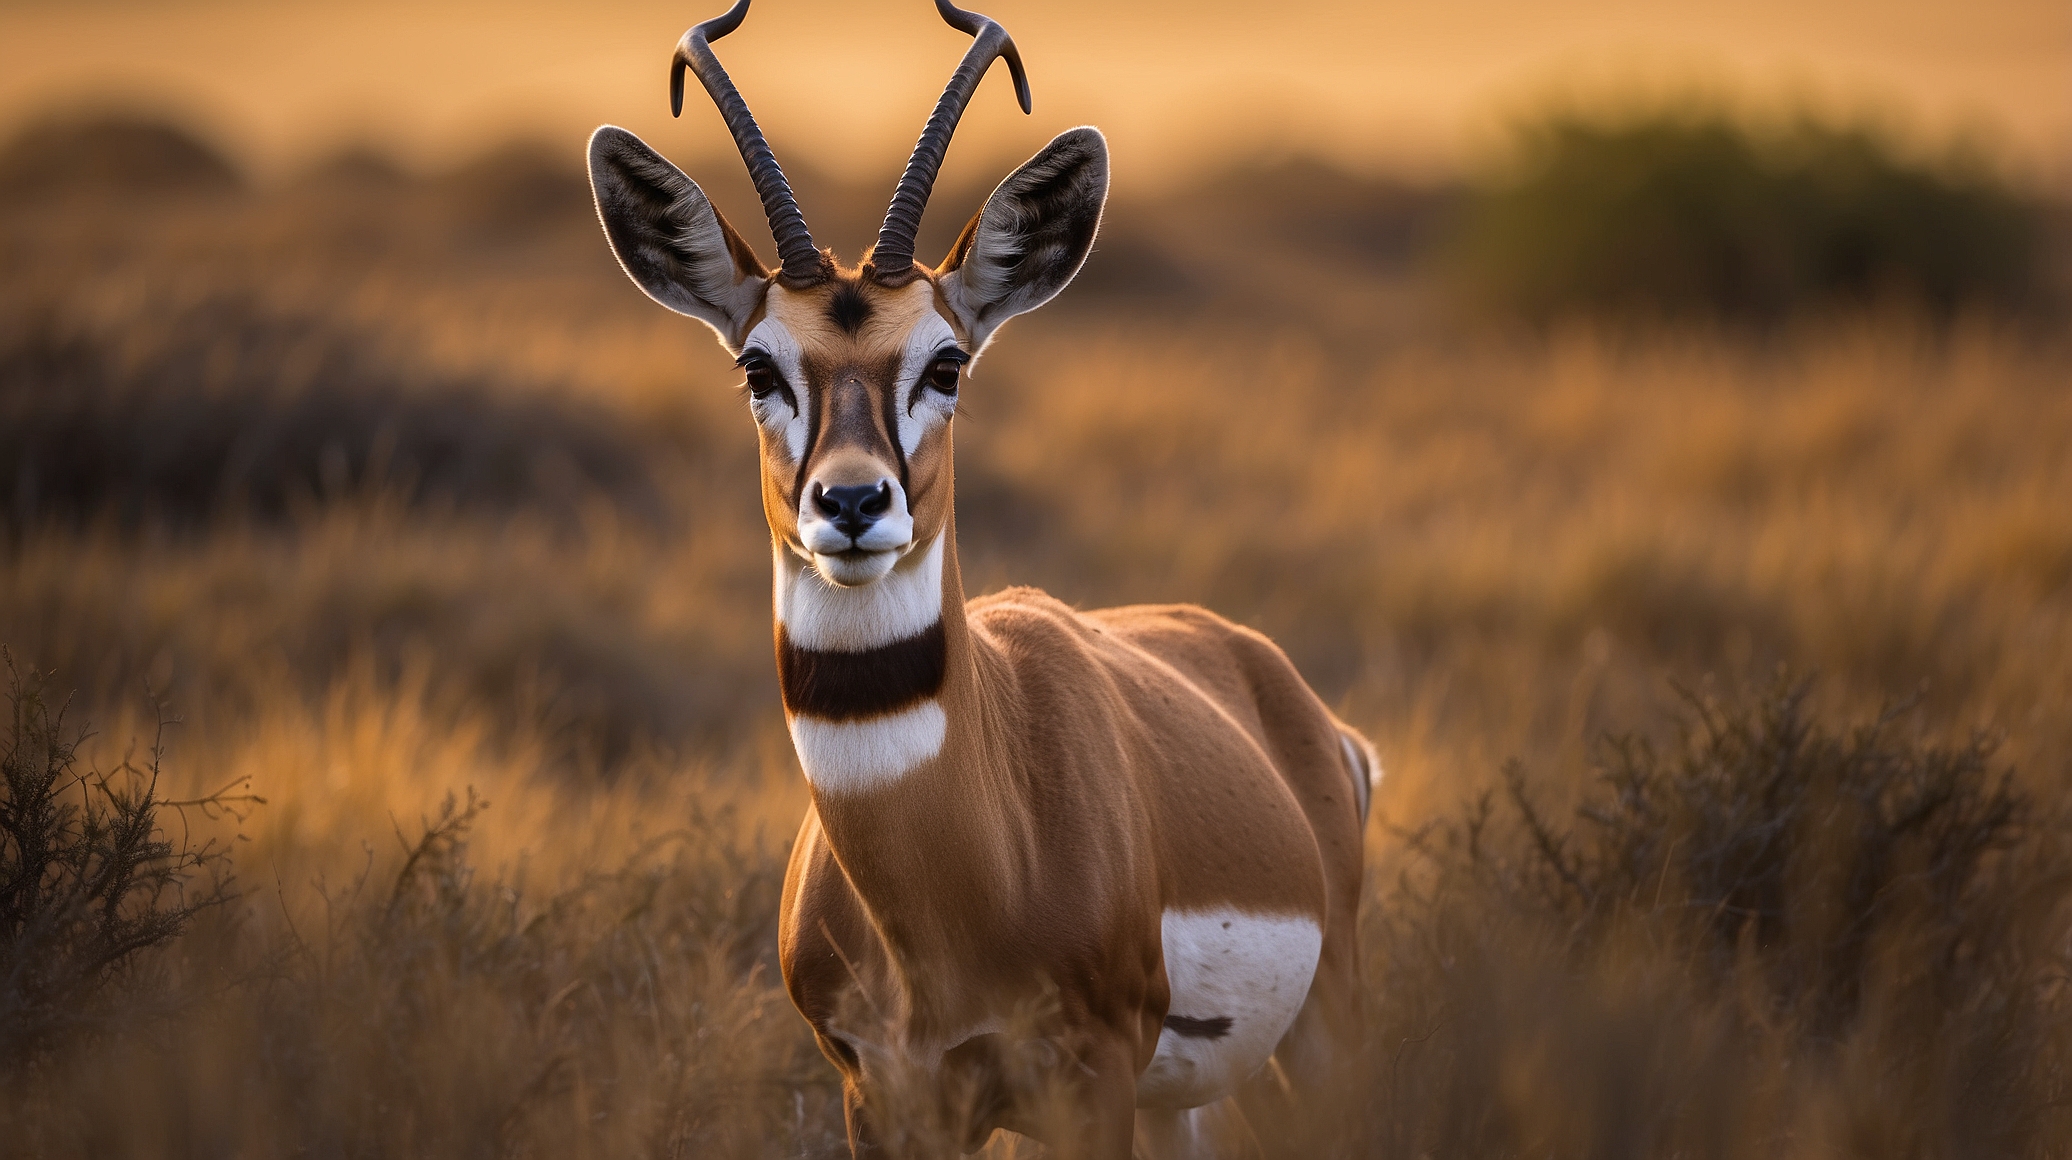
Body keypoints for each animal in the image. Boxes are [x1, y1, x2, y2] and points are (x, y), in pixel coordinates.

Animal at [584, 4, 1384, 1151]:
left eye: (946, 361)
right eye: (757, 365)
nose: (852, 503)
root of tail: (1293, 699)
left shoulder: (1089, 1082)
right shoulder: (883, 1093)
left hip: (1321, 1036)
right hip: (1186, 1100)